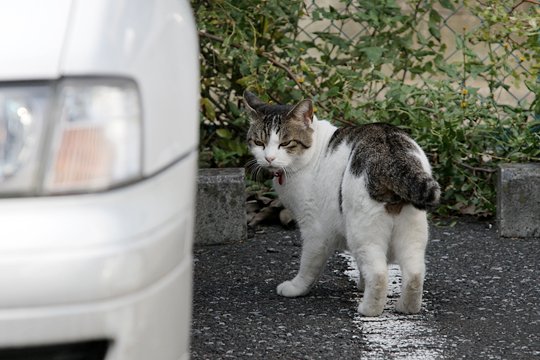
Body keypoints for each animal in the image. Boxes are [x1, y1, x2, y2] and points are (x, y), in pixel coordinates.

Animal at [243, 91, 440, 316]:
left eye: (286, 143)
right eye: (259, 142)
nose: (269, 158)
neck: (311, 153)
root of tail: (392, 154)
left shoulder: (314, 229)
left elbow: (309, 264)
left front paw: (296, 288)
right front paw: (362, 284)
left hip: (361, 231)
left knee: (379, 274)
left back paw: (368, 309)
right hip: (412, 231)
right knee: (415, 272)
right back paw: (406, 308)